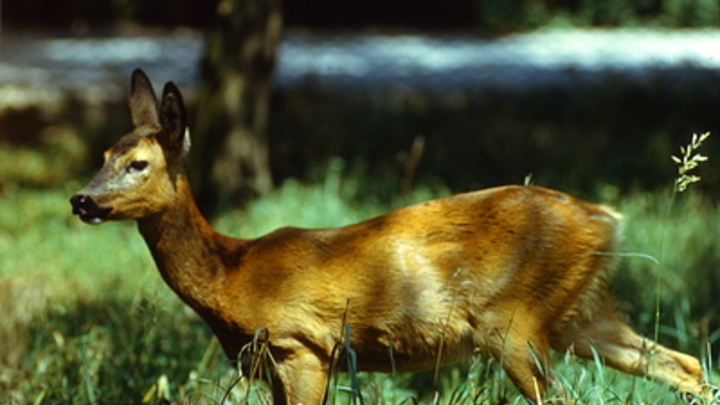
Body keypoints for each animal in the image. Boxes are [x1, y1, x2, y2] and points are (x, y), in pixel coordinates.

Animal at [70, 69, 712, 404]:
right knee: (685, 365)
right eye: (102, 155)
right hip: (578, 311)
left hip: (515, 320)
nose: (81, 200)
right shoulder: (271, 362)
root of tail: (605, 219)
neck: (232, 273)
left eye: (138, 164)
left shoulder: (302, 347)